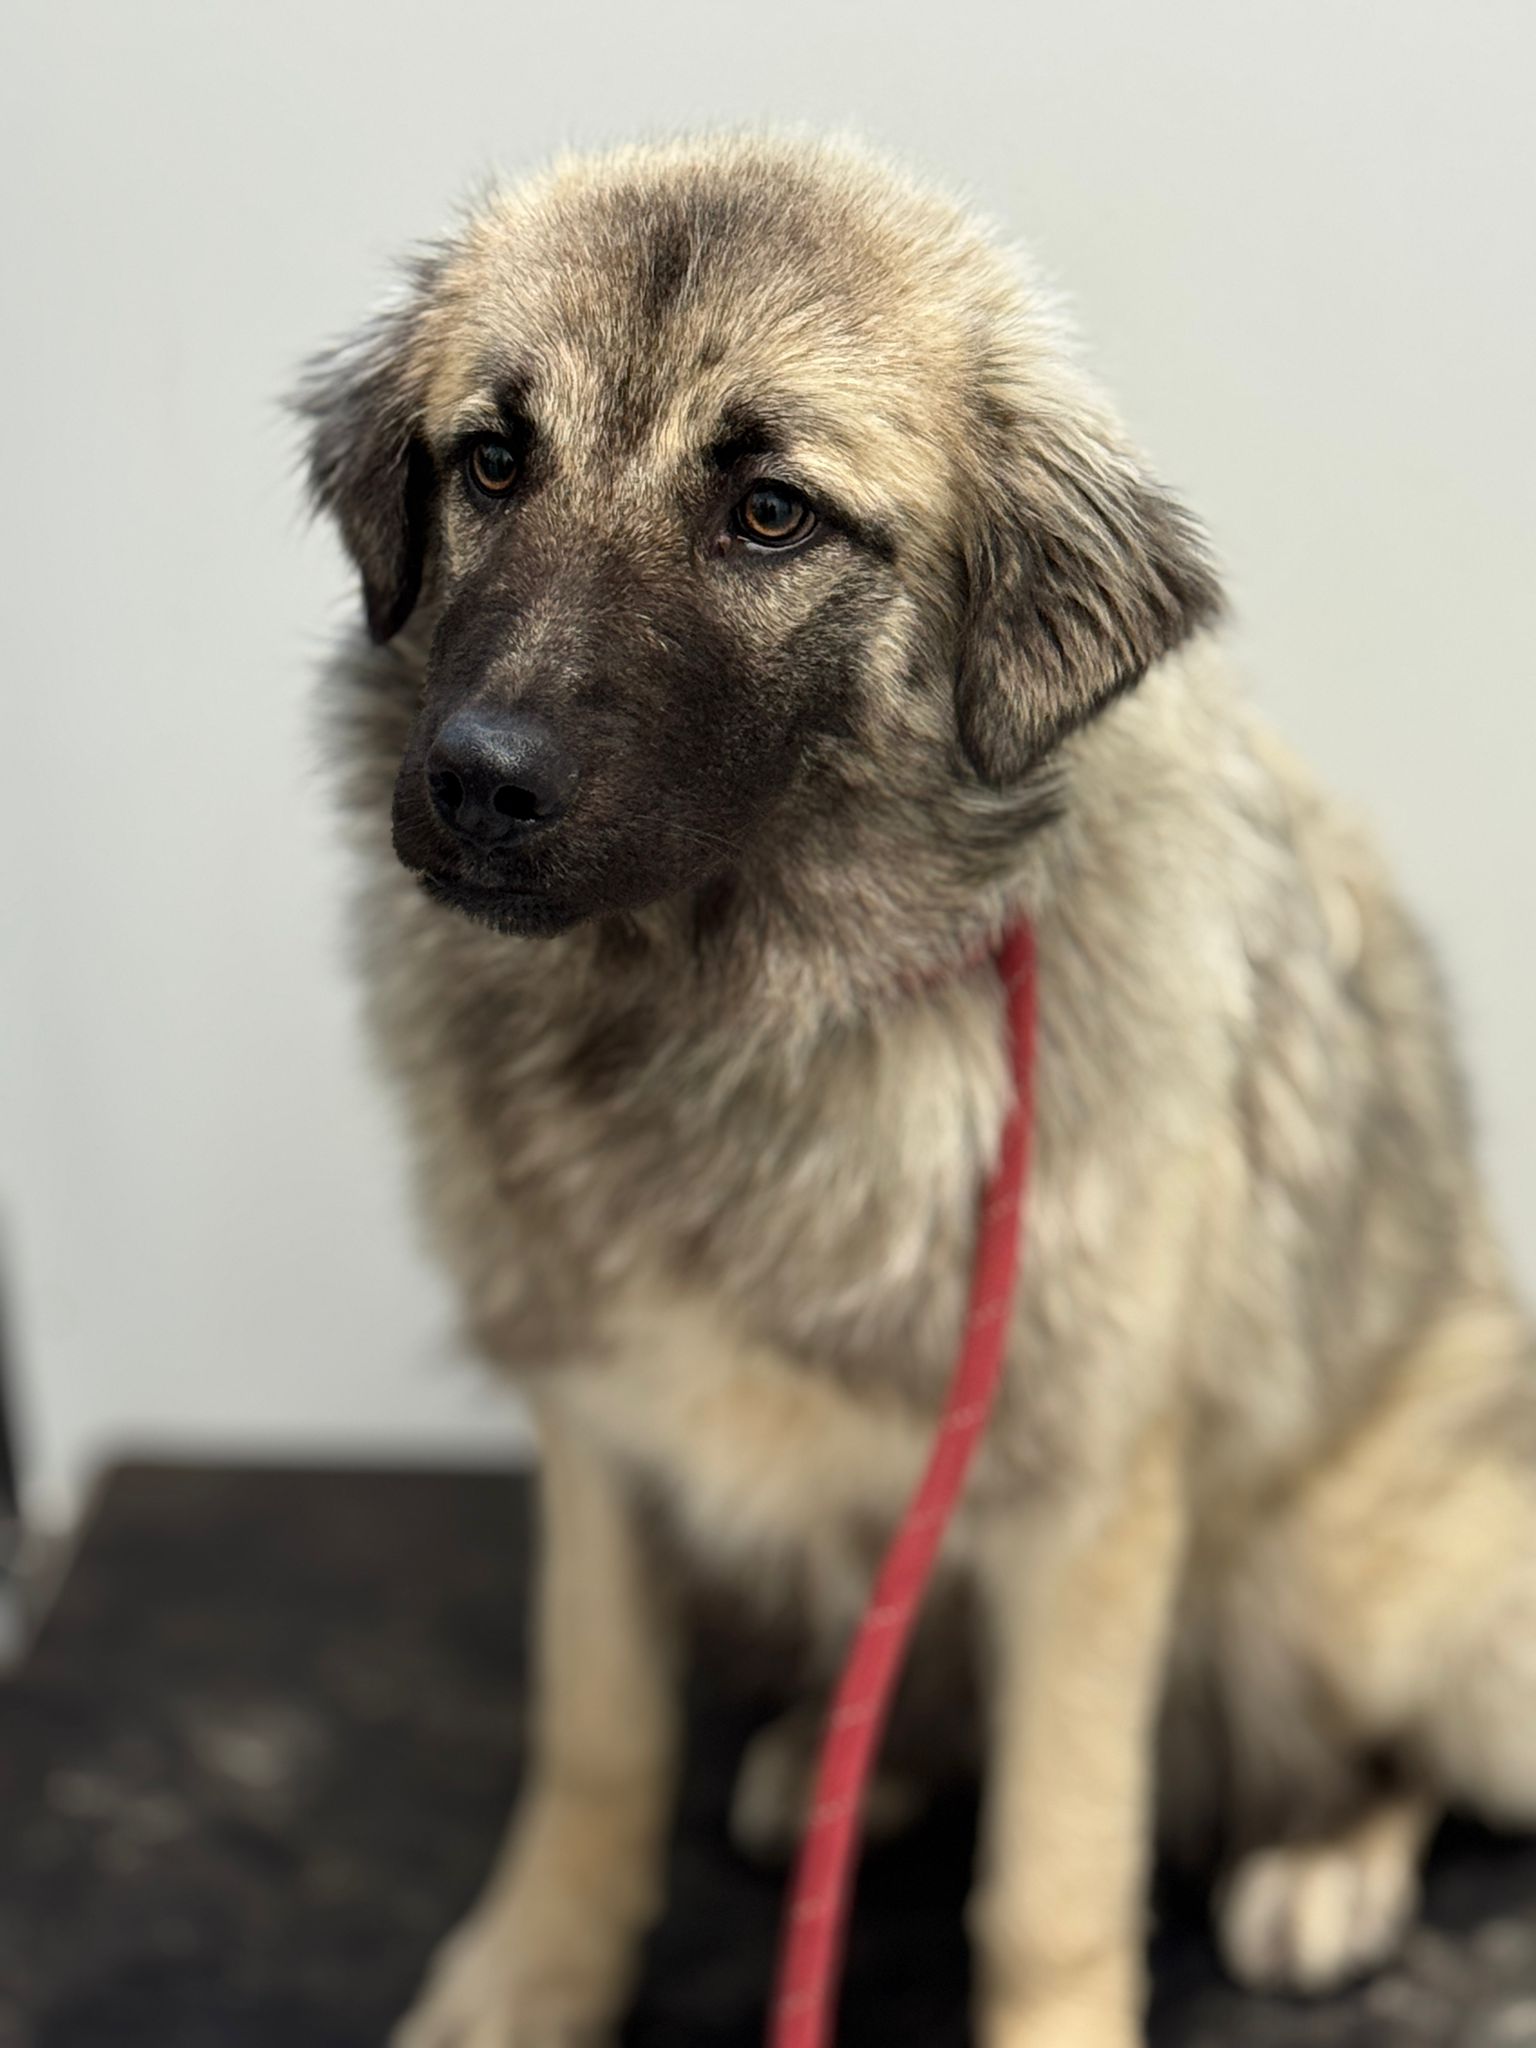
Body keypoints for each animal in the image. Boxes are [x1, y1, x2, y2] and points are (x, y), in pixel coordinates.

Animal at [297, 134, 1536, 2048]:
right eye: (493, 459)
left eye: (771, 512)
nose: (477, 784)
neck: (723, 1014)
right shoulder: (600, 1430)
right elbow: (594, 1744)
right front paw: (534, 1973)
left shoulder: (1081, 1502)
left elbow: (1048, 1880)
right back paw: (846, 1761)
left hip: (1349, 1573)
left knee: (1386, 1743)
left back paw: (1319, 1855)